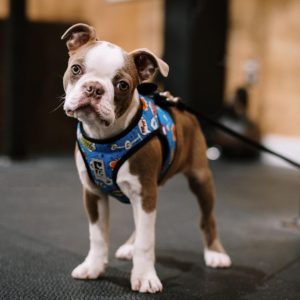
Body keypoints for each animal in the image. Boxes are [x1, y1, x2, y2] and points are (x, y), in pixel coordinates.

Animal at [60, 24, 230, 296]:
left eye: (122, 85)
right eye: (76, 69)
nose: (94, 88)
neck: (105, 139)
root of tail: (179, 105)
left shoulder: (145, 192)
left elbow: (146, 242)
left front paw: (144, 277)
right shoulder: (93, 193)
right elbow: (98, 236)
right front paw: (93, 267)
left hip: (200, 178)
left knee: (207, 217)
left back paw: (215, 253)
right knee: (139, 225)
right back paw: (129, 246)